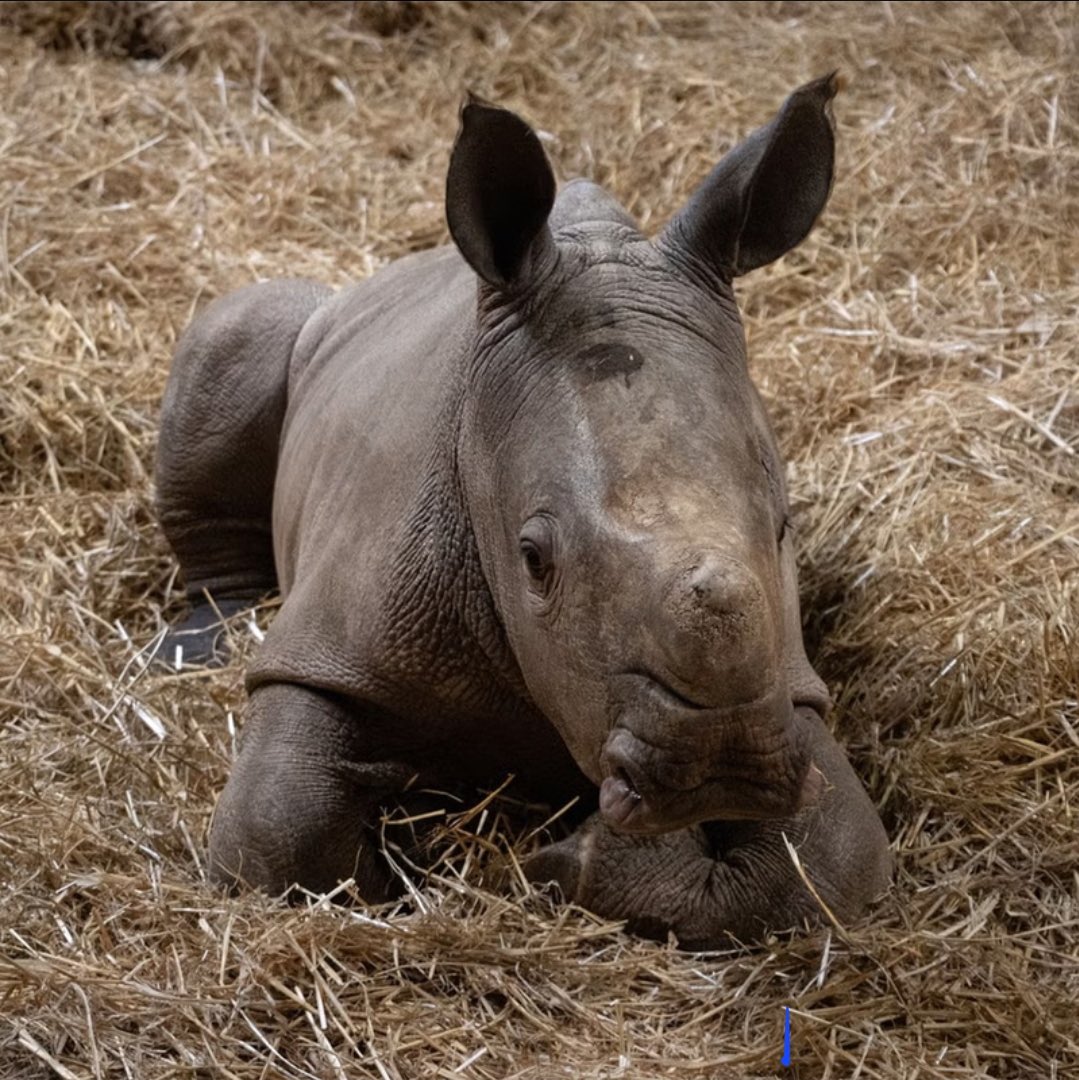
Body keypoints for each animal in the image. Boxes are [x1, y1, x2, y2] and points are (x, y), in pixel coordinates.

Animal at [156, 74, 891, 947]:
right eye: (532, 559)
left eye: (784, 528)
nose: (719, 769)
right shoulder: (327, 649)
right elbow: (278, 830)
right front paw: (405, 867)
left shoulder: (790, 685)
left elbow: (832, 862)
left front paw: (566, 863)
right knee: (234, 330)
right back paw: (202, 642)